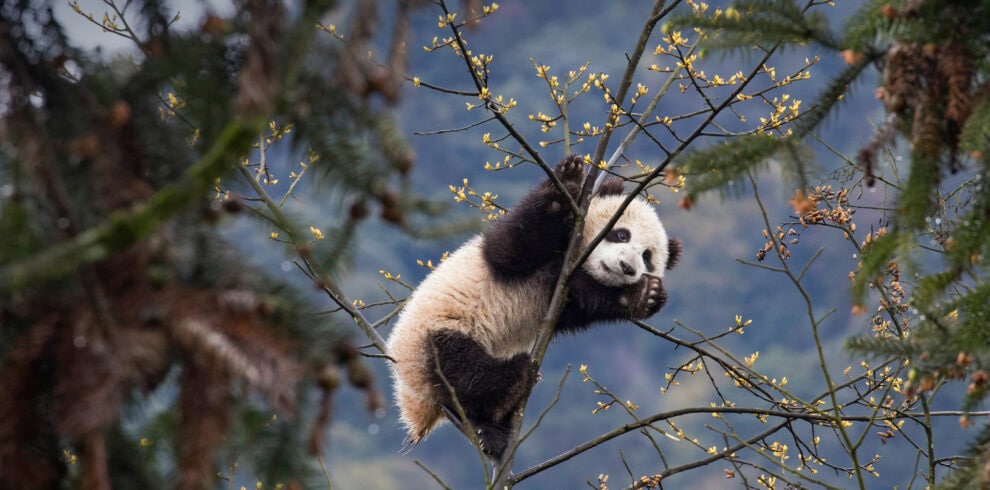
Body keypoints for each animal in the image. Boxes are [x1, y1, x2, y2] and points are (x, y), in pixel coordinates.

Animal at [386, 154, 681, 459]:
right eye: (622, 235)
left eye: (647, 258)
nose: (626, 267)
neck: (573, 255)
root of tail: (415, 403)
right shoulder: (515, 254)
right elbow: (511, 248)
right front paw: (567, 183)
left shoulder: (563, 291)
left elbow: (586, 301)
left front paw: (645, 295)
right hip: (435, 335)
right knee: (464, 372)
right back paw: (511, 388)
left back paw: (493, 428)